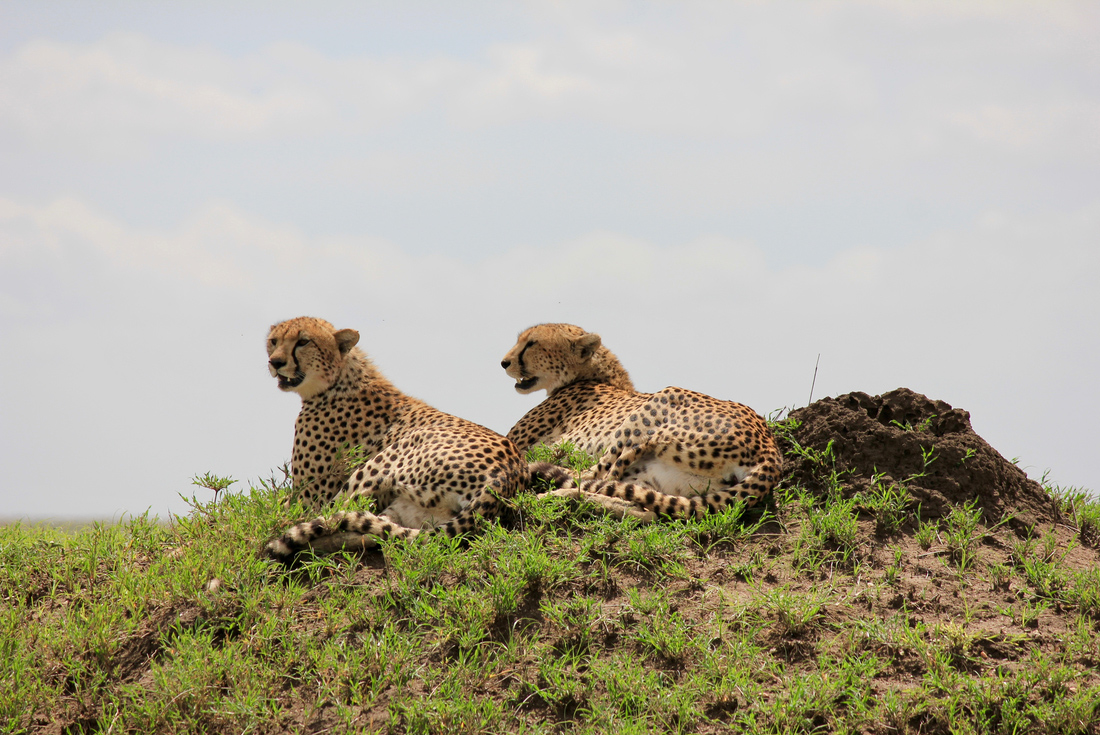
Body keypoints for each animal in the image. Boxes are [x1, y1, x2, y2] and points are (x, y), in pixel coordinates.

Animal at [263, 316, 526, 564]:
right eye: (273, 341)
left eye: (303, 342)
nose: (275, 362)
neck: (340, 377)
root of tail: (505, 477)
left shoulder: (309, 497)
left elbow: (273, 508)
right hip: (412, 509)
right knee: (375, 530)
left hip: (390, 456)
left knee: (336, 513)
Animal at [500, 323, 781, 521]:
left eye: (531, 343)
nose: (504, 362)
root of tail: (770, 451)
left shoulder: (513, 442)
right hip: (661, 480)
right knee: (642, 508)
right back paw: (559, 496)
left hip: (658, 408)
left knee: (596, 476)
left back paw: (549, 490)